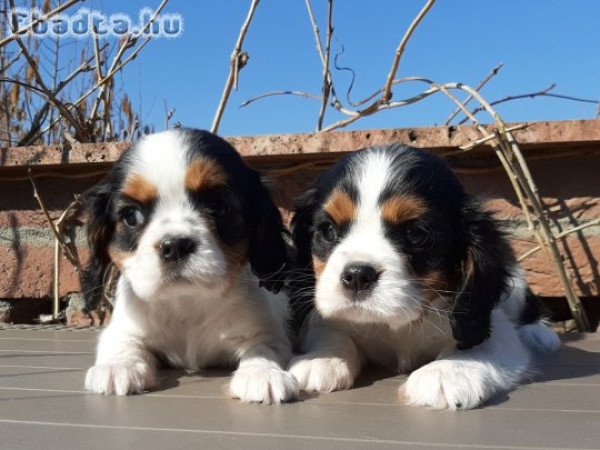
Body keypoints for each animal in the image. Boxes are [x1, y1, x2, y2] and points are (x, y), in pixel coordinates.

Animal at [83, 127, 298, 404]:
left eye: (218, 206)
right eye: (131, 216)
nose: (174, 245)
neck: (186, 302)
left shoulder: (267, 331)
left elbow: (263, 347)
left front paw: (262, 372)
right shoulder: (122, 329)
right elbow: (123, 343)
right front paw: (118, 366)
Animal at [288, 146, 560, 410]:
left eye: (416, 234)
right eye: (328, 230)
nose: (357, 275)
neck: (395, 324)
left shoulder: (491, 324)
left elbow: (483, 342)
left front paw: (447, 373)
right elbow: (330, 333)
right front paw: (323, 359)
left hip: (516, 284)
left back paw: (539, 332)